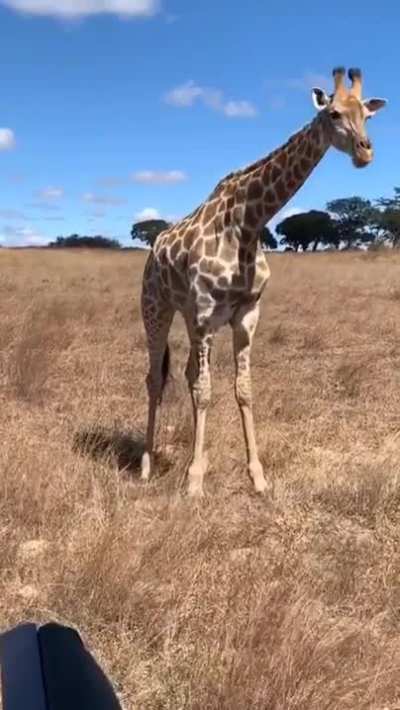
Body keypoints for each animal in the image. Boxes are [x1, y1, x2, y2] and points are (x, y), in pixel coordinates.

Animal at [140, 67, 386, 497]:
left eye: (368, 116)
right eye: (334, 113)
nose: (365, 152)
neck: (249, 222)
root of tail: (153, 248)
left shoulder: (246, 313)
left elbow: (242, 389)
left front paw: (256, 476)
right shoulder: (206, 312)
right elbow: (206, 391)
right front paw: (194, 482)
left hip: (188, 316)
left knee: (186, 375)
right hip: (157, 308)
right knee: (156, 378)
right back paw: (147, 464)